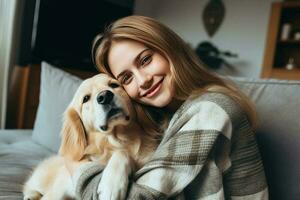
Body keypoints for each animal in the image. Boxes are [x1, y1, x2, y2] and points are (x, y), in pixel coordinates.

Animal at [22, 73, 158, 200]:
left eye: (114, 85)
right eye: (86, 98)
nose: (105, 96)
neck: (115, 139)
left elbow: (122, 153)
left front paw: (111, 185)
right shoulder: (60, 188)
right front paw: (111, 186)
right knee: (29, 185)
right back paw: (31, 195)